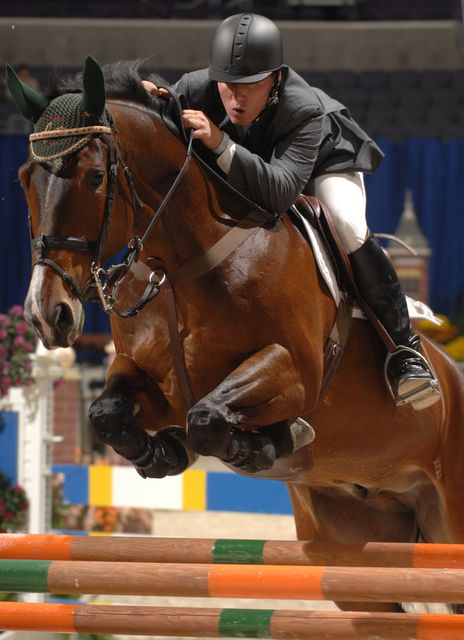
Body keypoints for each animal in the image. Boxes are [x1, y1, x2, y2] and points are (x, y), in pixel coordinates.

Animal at [8, 60, 464, 616]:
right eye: (24, 180)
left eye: (95, 177)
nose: (46, 314)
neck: (183, 264)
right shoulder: (149, 379)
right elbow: (108, 414)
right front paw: (164, 453)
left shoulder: (294, 372)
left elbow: (209, 418)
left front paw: (270, 443)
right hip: (357, 549)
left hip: (448, 511)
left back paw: (411, 374)